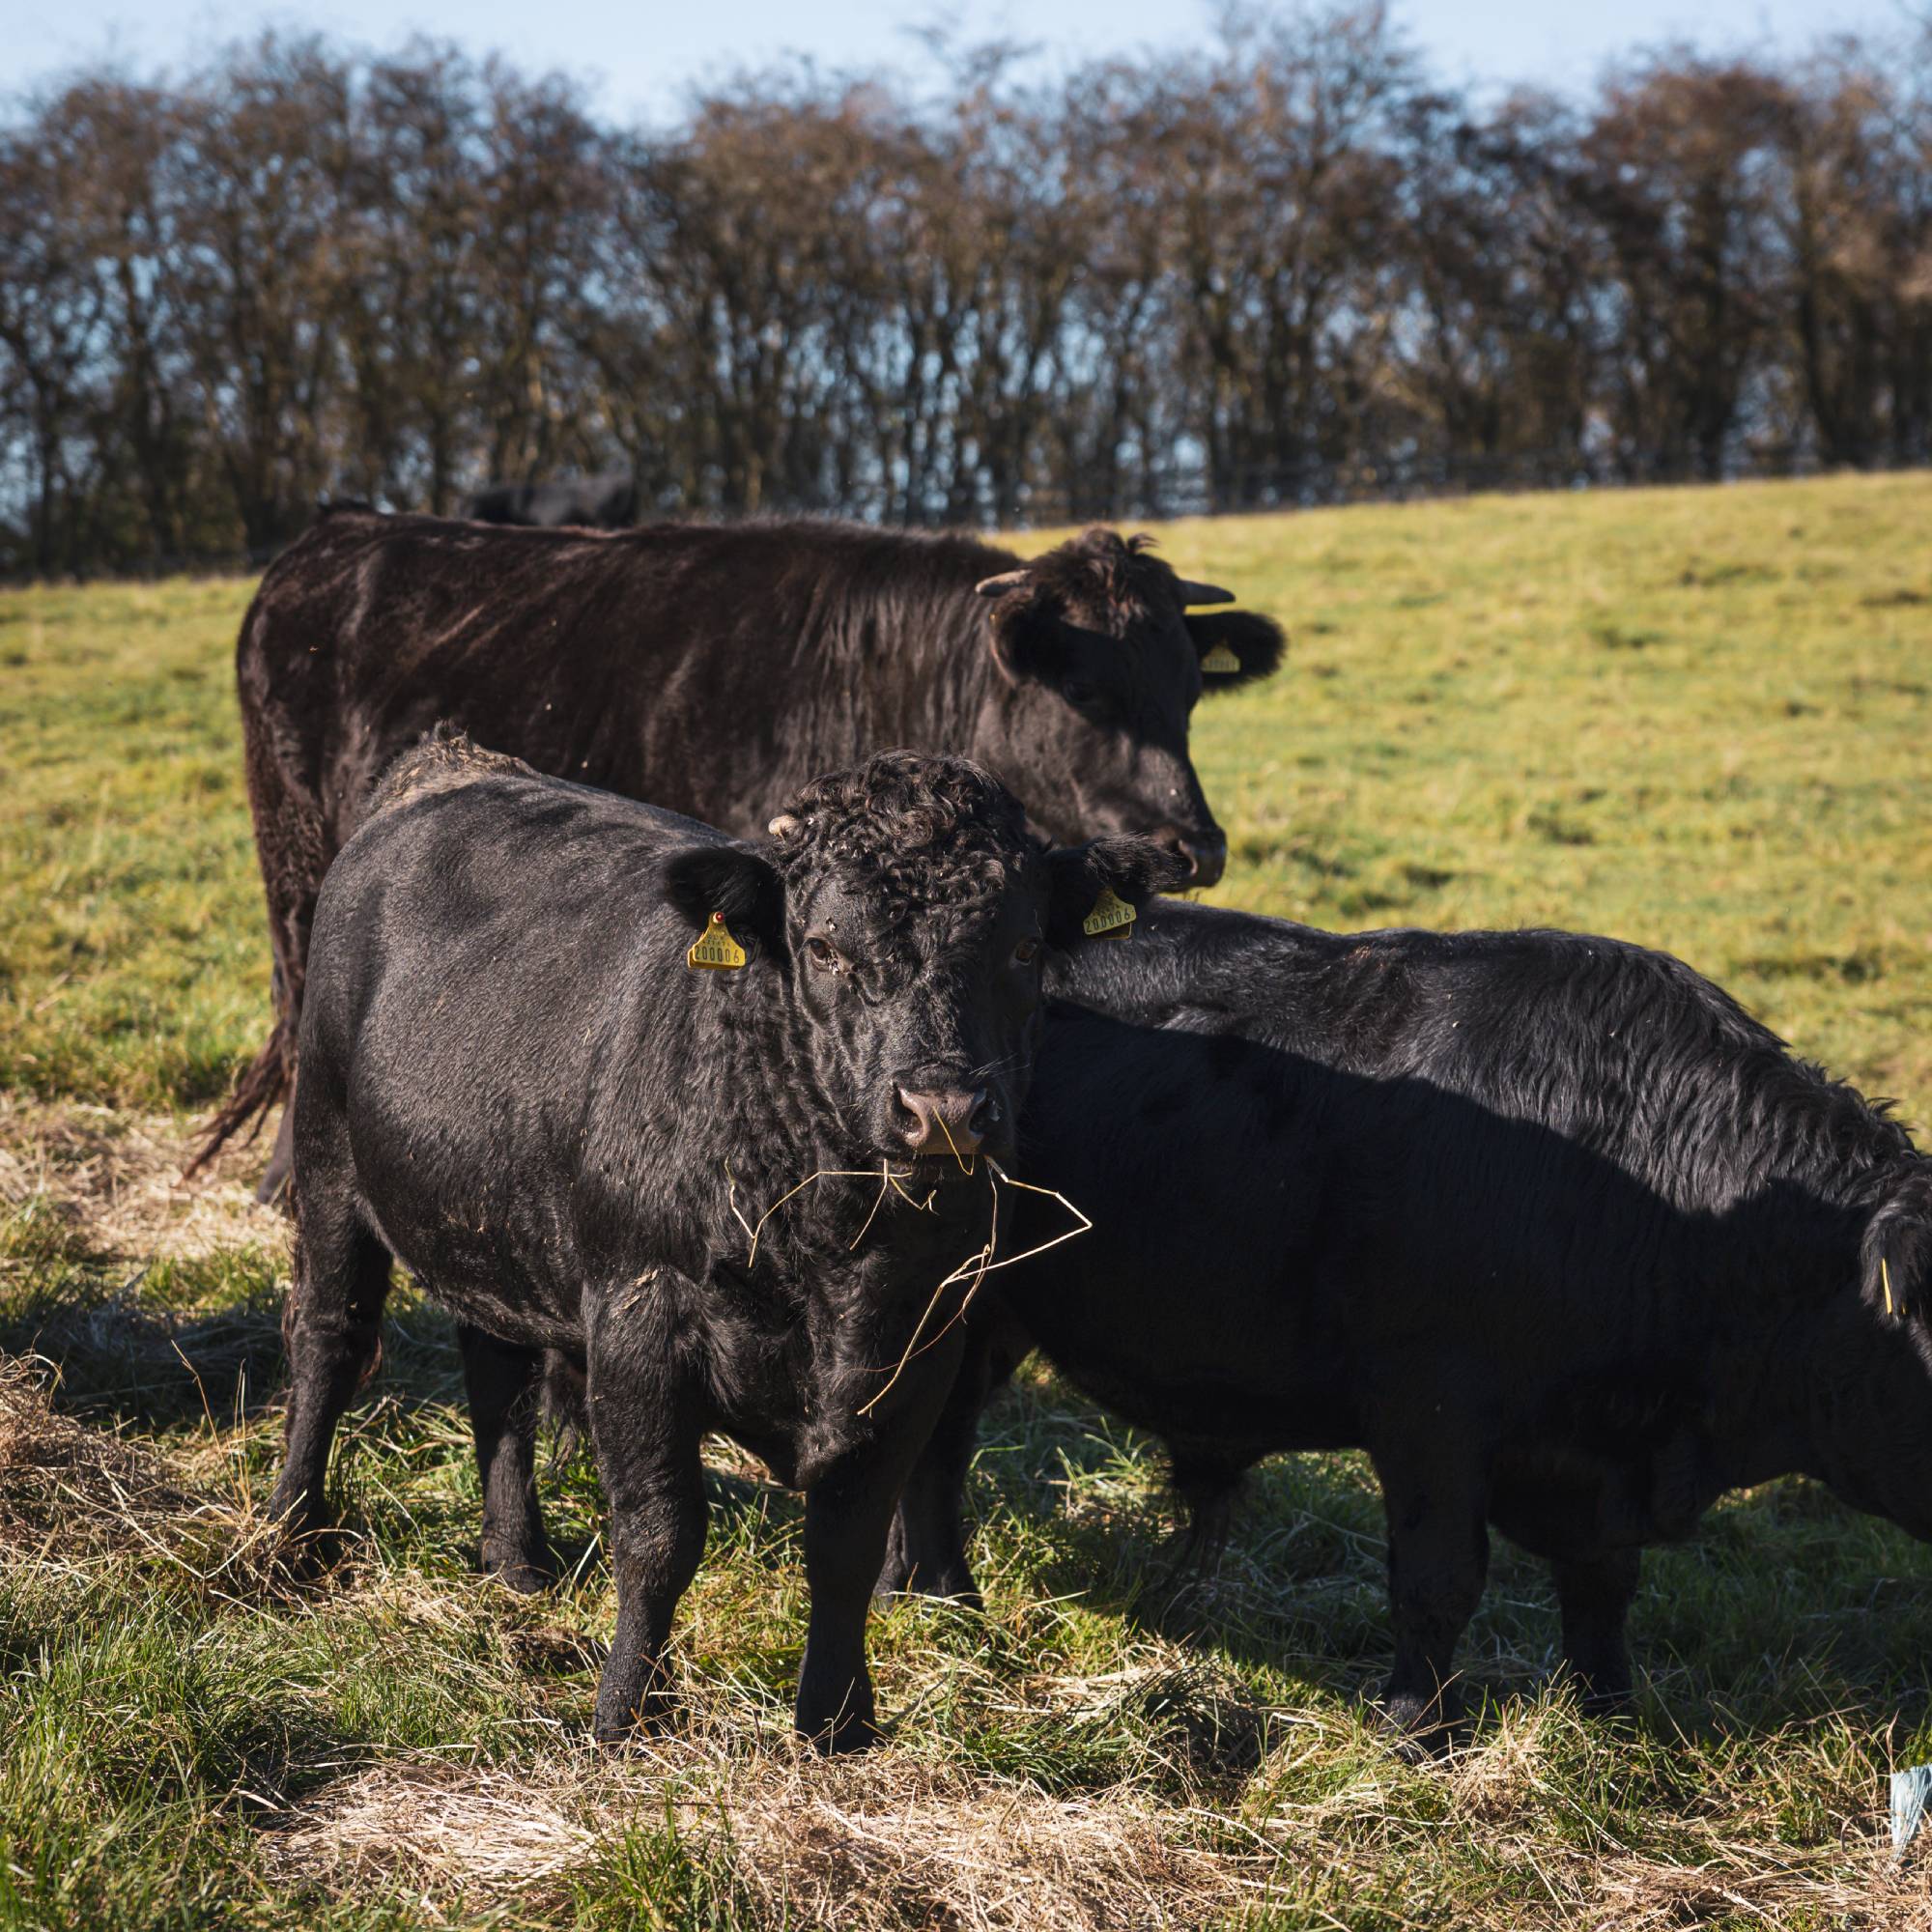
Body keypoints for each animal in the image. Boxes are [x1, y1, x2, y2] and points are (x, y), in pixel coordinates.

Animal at [195, 509, 1283, 1196]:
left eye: (1191, 690)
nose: (1192, 844)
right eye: (1087, 694)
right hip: (292, 862)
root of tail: (339, 533)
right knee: (299, 1006)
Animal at [266, 737, 1184, 1748]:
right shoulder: (639, 1321)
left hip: (487, 1212)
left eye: (1024, 947)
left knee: (496, 1371)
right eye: (823, 946)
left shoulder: (919, 1345)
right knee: (329, 1342)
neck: (833, 1254)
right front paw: (625, 1714)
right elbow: (662, 1534)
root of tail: (451, 762)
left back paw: (517, 1561)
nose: (941, 1110)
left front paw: (838, 1722)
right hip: (328, 1162)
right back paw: (290, 1539)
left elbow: (848, 1540)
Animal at [877, 898, 1932, 1741]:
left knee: (937, 1441)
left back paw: (929, 1597)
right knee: (925, 1442)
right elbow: (1439, 1578)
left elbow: (1601, 1589)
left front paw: (1610, 1716)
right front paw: (1415, 1731)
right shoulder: (1431, 1410)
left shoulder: (1592, 1461)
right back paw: (940, 1596)